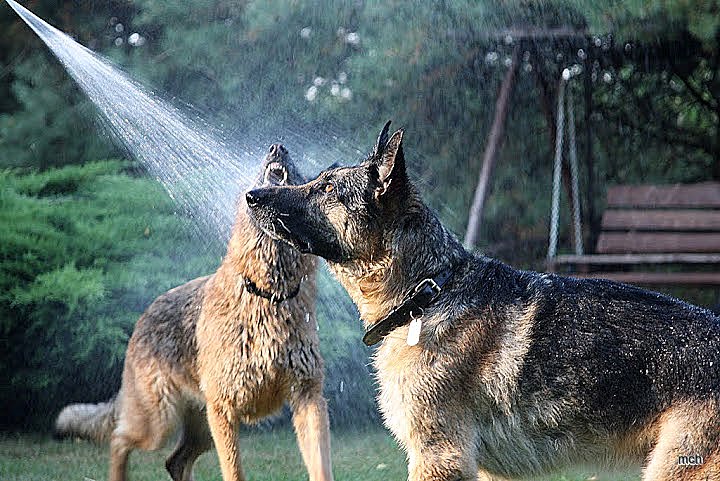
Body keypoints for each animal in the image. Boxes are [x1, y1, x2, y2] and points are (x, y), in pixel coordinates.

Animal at [55, 144, 333, 481]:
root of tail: (143, 316)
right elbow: (234, 473)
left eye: (303, 177)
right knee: (119, 439)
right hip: (159, 424)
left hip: (199, 431)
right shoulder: (225, 410)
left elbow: (321, 468)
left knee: (174, 461)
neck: (269, 294)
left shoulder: (308, 399)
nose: (277, 147)